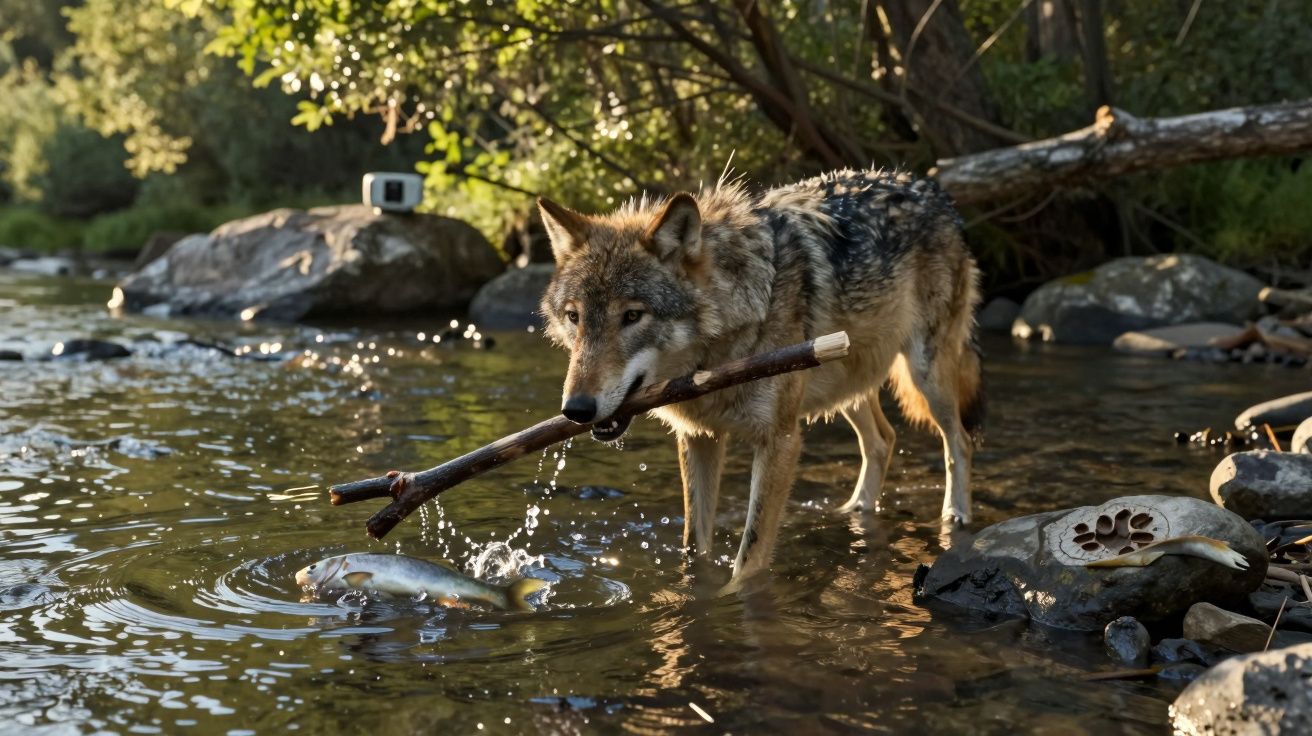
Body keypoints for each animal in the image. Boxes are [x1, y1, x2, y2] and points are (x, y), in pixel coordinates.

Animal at [537, 168, 983, 581]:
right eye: (574, 317)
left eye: (632, 316)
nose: (576, 409)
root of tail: (931, 186)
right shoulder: (698, 437)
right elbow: (694, 546)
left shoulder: (780, 441)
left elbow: (748, 560)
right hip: (842, 379)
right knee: (883, 440)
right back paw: (856, 510)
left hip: (925, 374)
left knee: (958, 440)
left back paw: (955, 516)